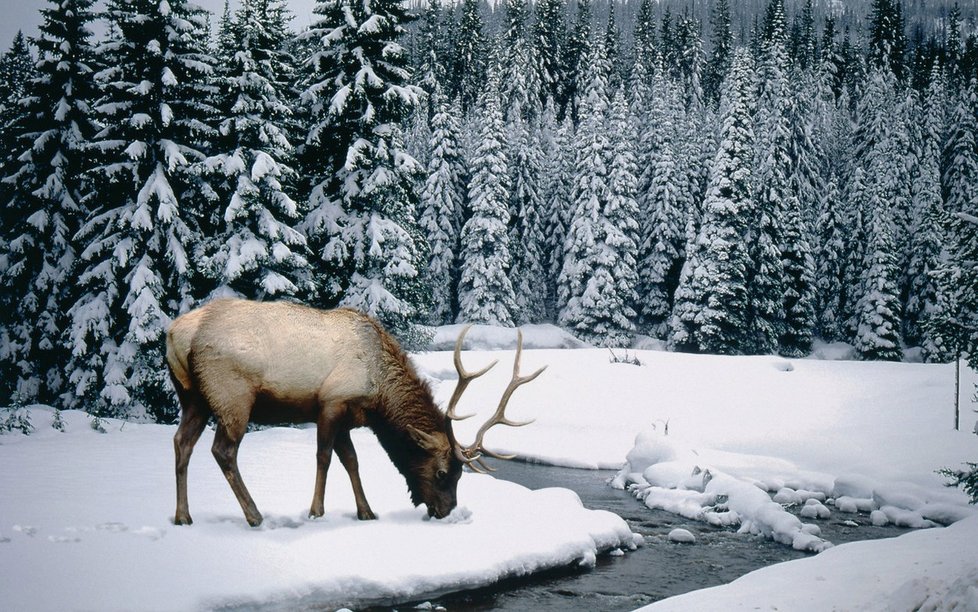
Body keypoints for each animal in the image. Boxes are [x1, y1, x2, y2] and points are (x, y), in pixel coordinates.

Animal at [166, 296, 540, 524]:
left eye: (462, 475)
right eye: (442, 473)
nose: (446, 511)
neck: (378, 394)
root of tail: (175, 334)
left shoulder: (348, 417)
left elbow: (351, 461)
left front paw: (367, 511)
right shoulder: (331, 402)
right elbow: (324, 457)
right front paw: (316, 511)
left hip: (193, 398)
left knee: (181, 443)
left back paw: (183, 515)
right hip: (232, 395)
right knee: (223, 451)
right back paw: (254, 514)